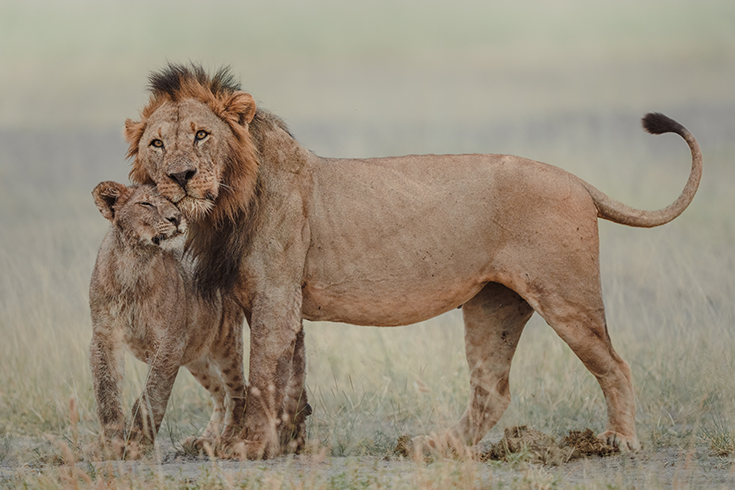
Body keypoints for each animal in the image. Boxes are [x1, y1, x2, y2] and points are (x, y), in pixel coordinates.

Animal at [125, 63, 700, 458]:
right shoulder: (275, 303)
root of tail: (576, 179)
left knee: (616, 366)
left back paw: (619, 440)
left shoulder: (275, 299)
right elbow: (288, 378)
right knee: (492, 392)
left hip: (566, 296)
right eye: (157, 144)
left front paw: (247, 448)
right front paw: (282, 445)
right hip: (494, 306)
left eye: (202, 135)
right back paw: (434, 446)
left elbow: (262, 375)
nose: (179, 177)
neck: (228, 203)